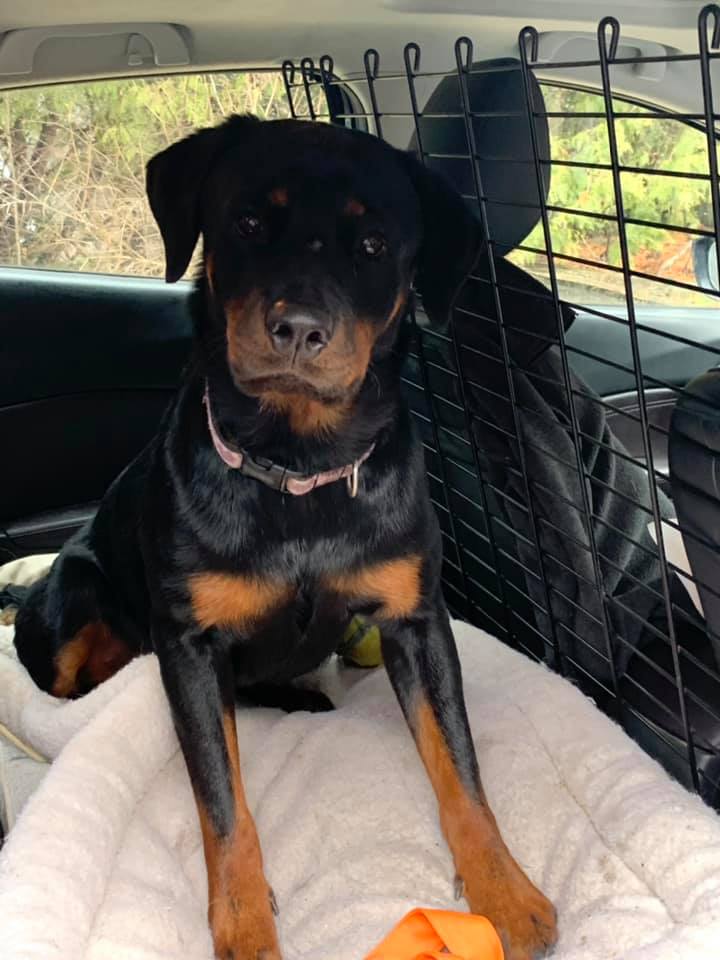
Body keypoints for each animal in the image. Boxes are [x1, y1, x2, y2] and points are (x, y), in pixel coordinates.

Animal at [13, 115, 557, 960]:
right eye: (246, 223)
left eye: (373, 244)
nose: (299, 328)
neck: (299, 468)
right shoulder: (190, 644)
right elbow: (223, 804)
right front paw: (245, 926)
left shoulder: (416, 619)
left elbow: (461, 768)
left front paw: (507, 892)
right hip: (73, 599)